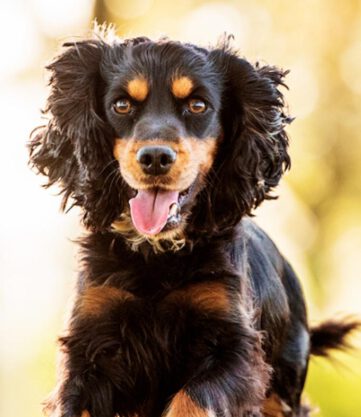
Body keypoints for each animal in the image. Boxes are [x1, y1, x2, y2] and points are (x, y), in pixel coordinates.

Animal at [28, 29, 358, 416]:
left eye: (198, 105)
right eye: (122, 105)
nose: (155, 157)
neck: (157, 255)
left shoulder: (235, 348)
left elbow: (193, 398)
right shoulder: (89, 345)